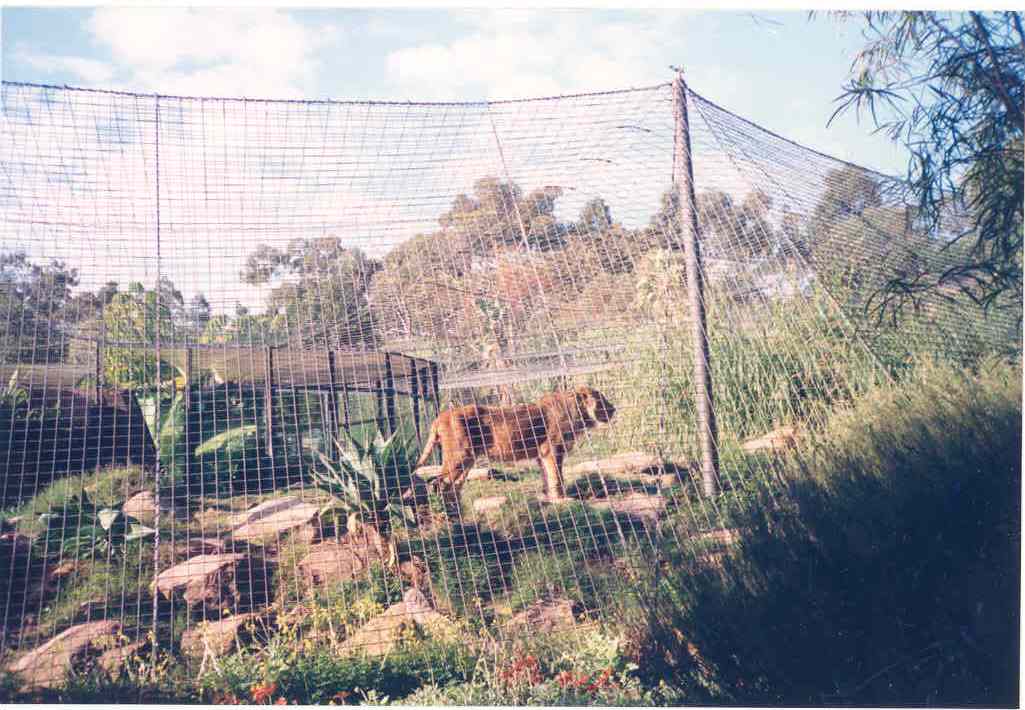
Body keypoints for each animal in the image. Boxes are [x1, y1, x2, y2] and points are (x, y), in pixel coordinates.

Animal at [415, 386, 616, 503]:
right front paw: (562, 499)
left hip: (467, 459)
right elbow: (556, 476)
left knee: (451, 485)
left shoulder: (542, 454)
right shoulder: (553, 450)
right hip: (459, 456)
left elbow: (546, 476)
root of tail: (440, 416)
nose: (614, 409)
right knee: (439, 483)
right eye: (601, 400)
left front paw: (547, 497)